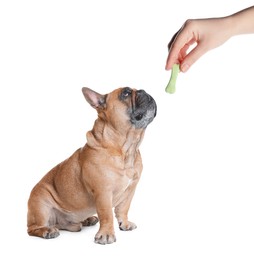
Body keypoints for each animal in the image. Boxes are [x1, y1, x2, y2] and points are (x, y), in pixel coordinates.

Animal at [26, 87, 156, 244]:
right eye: (125, 93)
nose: (144, 91)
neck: (125, 149)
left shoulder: (130, 190)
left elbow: (123, 208)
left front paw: (124, 223)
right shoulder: (103, 192)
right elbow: (106, 214)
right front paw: (106, 234)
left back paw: (85, 221)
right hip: (41, 206)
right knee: (33, 228)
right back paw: (47, 231)